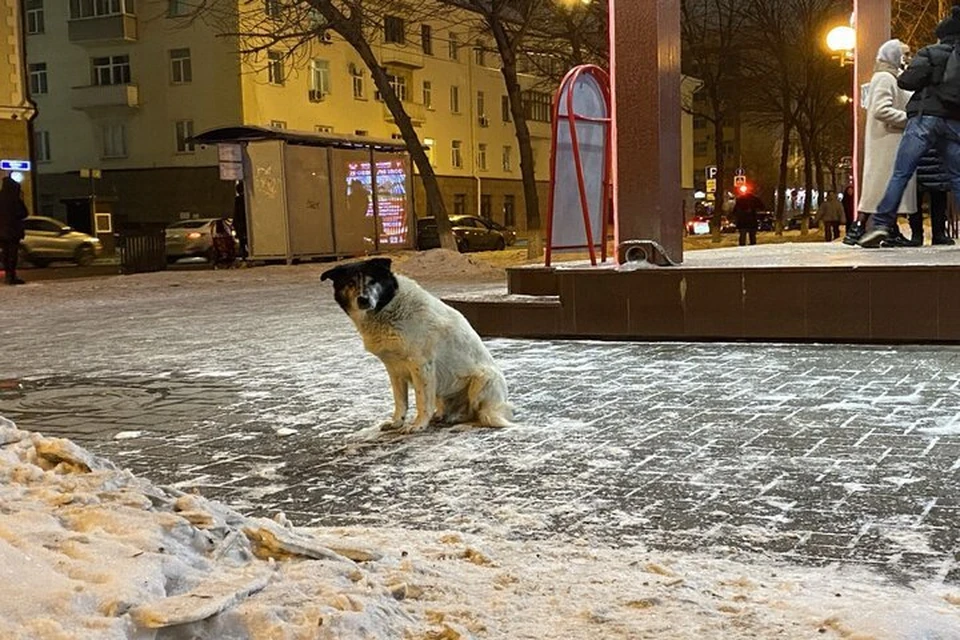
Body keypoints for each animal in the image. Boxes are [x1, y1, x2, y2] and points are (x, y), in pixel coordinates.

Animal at [322, 258, 512, 432]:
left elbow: (421, 401)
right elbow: (400, 401)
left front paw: (418, 425)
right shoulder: (394, 369)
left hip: (483, 380)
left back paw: (460, 421)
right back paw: (444, 415)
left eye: (372, 281)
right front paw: (397, 422)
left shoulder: (421, 365)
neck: (388, 308)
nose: (363, 300)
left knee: (479, 413)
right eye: (350, 282)